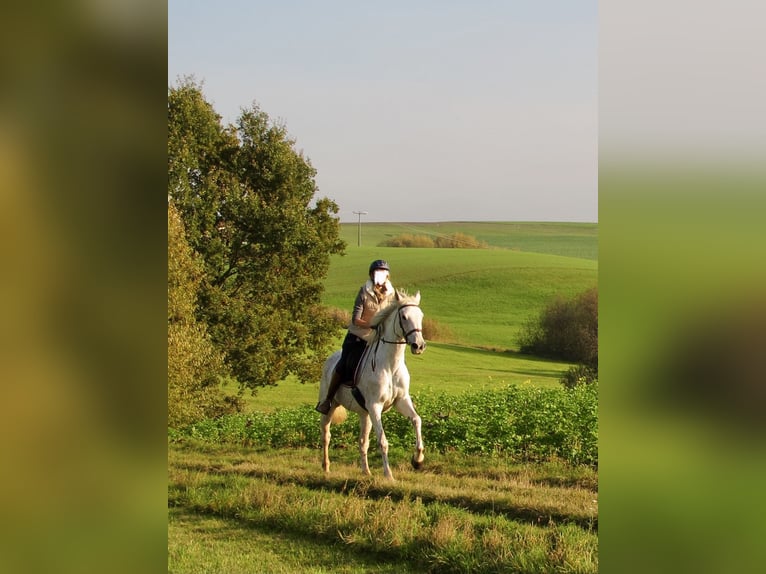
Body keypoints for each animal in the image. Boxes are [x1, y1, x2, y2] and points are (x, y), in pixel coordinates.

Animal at [318, 292, 426, 482]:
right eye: (404, 317)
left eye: (420, 316)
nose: (418, 346)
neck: (390, 365)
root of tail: (330, 359)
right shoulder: (375, 406)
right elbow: (383, 441)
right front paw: (389, 475)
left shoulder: (401, 400)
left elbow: (416, 420)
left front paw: (418, 460)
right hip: (331, 406)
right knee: (326, 434)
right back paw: (326, 467)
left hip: (365, 414)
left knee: (363, 442)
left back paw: (366, 471)